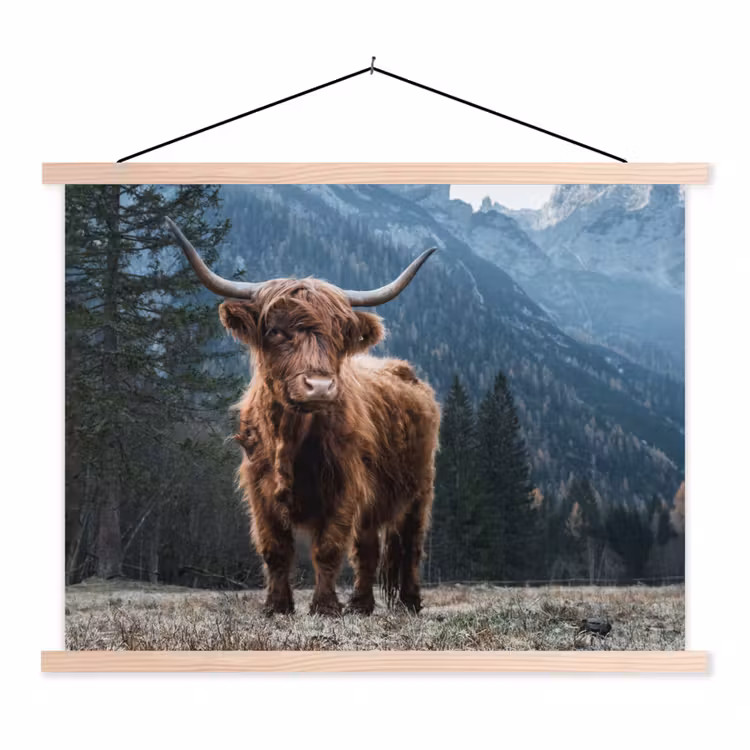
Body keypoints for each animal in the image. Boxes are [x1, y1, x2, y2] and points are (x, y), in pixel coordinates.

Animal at [166, 217, 440, 617]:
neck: (290, 437)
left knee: (411, 546)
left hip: (420, 490)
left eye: (339, 335)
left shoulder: (344, 486)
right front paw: (276, 606)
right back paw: (361, 605)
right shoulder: (259, 490)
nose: (320, 387)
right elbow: (275, 549)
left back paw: (409, 602)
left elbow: (328, 549)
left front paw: (324, 606)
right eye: (275, 330)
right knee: (368, 550)